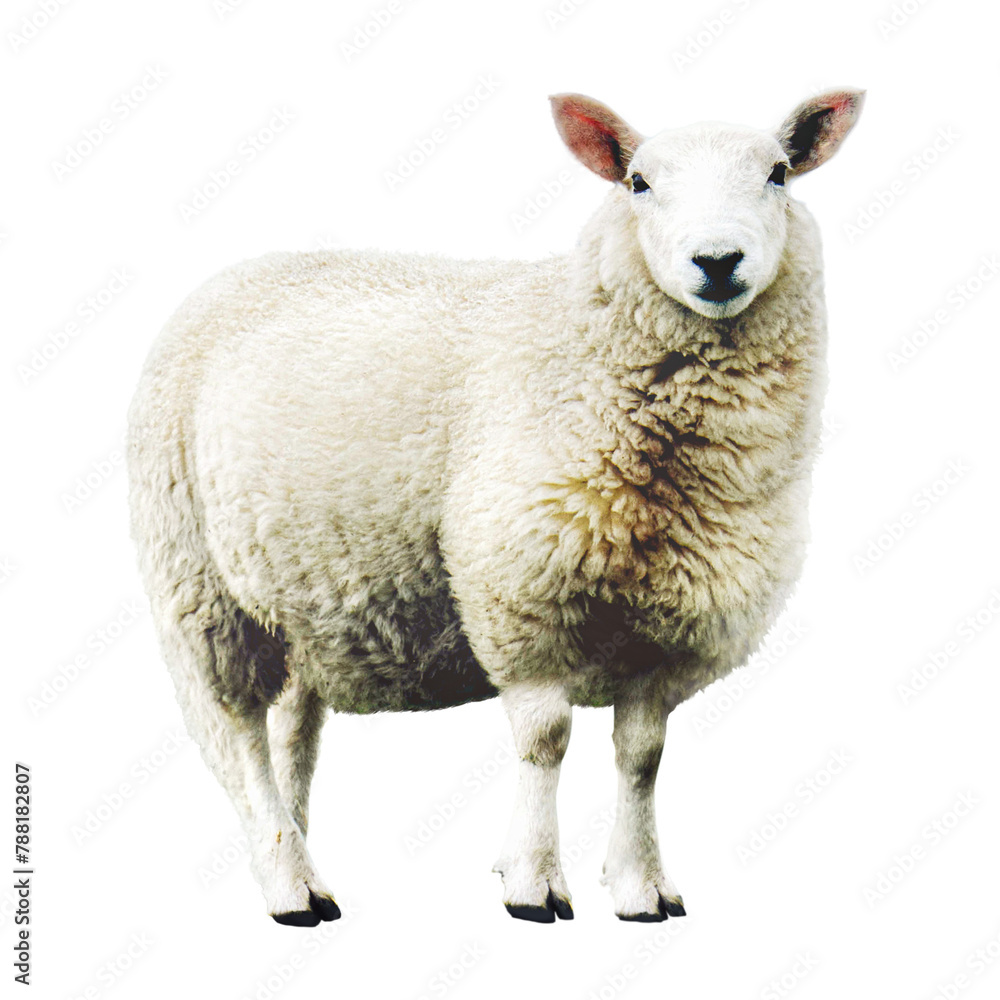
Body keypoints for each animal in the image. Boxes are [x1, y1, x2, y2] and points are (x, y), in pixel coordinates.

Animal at [127, 87, 864, 925]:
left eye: (778, 174)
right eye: (639, 182)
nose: (716, 261)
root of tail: (237, 274)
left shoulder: (668, 626)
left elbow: (642, 756)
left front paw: (641, 887)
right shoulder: (522, 593)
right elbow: (545, 741)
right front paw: (534, 884)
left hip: (300, 605)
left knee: (292, 733)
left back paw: (298, 858)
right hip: (200, 584)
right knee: (241, 736)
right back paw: (289, 888)